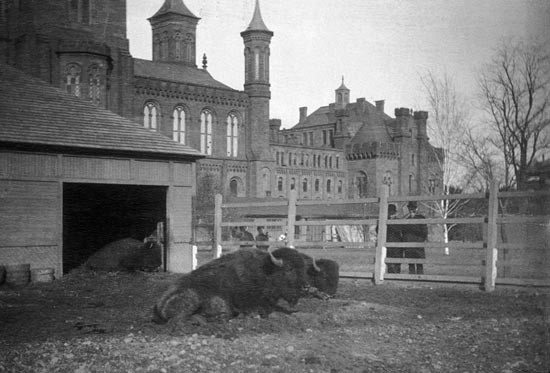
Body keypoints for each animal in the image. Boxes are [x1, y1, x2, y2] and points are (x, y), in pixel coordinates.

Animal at [153, 247, 338, 322]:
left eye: (304, 270)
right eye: (289, 269)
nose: (305, 287)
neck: (265, 272)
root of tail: (158, 305)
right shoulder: (257, 306)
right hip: (191, 296)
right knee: (179, 319)